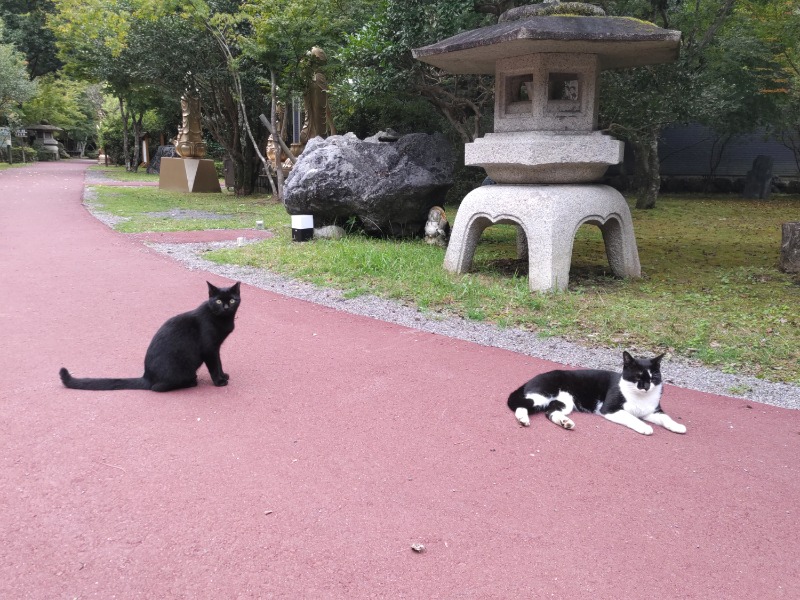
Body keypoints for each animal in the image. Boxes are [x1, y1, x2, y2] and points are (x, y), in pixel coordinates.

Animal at [60, 282, 241, 394]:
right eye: (218, 301)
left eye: (232, 300)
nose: (226, 307)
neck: (223, 319)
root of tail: (146, 376)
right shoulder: (209, 348)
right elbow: (214, 366)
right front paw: (219, 382)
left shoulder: (216, 348)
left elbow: (219, 363)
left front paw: (224, 376)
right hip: (181, 368)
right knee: (157, 387)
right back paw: (191, 382)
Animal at [510, 352, 684, 436]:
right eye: (637, 377)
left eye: (653, 377)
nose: (646, 387)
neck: (641, 398)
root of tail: (532, 379)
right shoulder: (609, 408)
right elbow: (631, 417)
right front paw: (645, 427)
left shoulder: (652, 411)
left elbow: (665, 417)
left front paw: (677, 426)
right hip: (543, 394)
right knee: (522, 404)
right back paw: (523, 419)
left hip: (565, 402)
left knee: (550, 412)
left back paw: (566, 422)